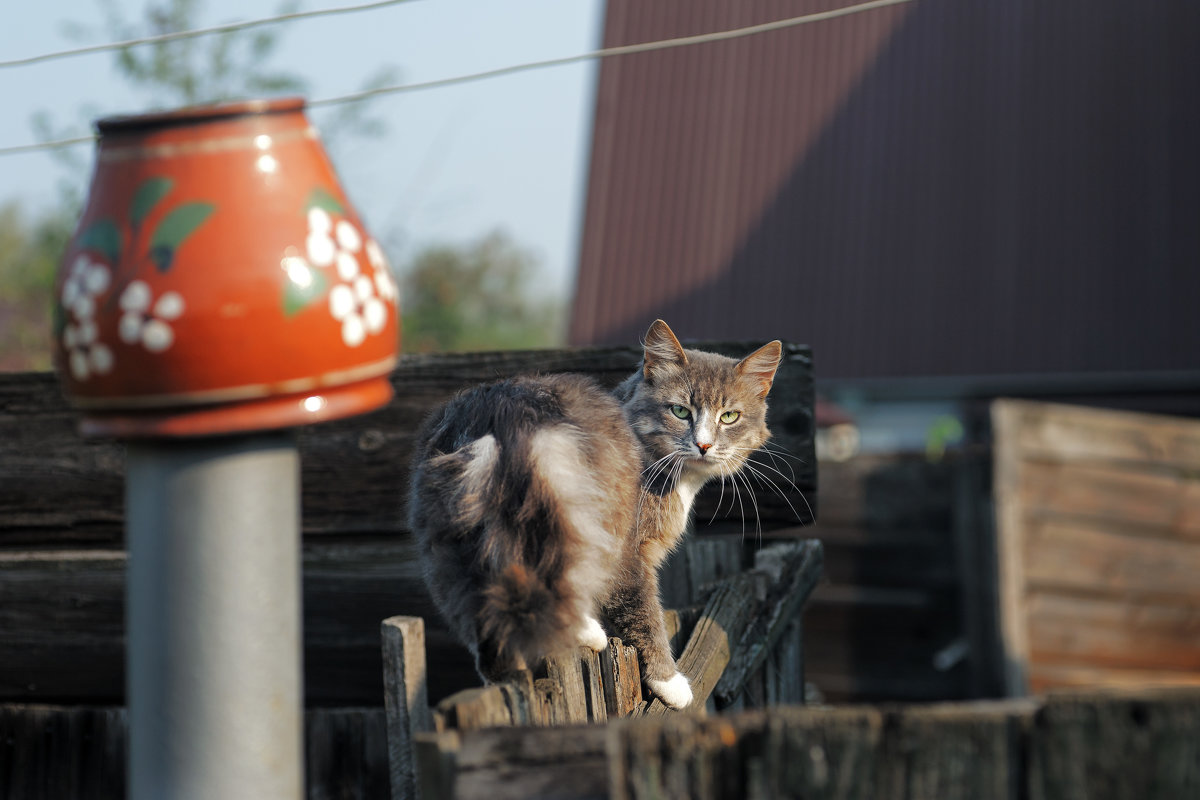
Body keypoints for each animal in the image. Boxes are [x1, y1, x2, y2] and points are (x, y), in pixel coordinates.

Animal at [408, 319, 782, 705]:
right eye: (680, 411)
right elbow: (642, 610)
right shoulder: (631, 552)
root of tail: (497, 413)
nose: (704, 445)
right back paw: (589, 634)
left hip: (453, 536)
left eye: (729, 416)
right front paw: (670, 682)